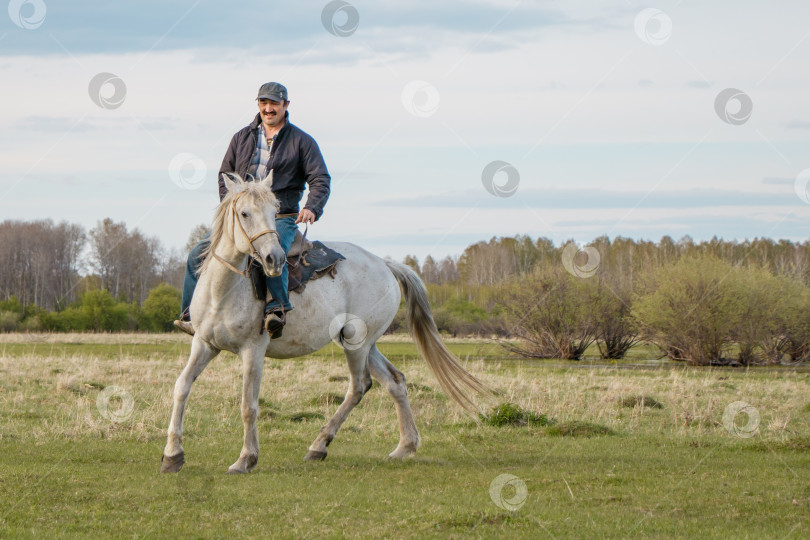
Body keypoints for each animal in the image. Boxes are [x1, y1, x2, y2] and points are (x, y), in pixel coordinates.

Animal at [159, 173, 486, 472]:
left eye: (274, 212)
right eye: (244, 213)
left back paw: (319, 445)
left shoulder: (253, 351)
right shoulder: (204, 344)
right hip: (365, 343)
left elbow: (248, 406)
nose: (274, 259)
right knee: (395, 381)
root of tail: (384, 264)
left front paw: (246, 459)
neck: (224, 290)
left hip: (356, 343)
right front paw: (172, 455)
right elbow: (181, 387)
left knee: (359, 386)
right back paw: (404, 446)